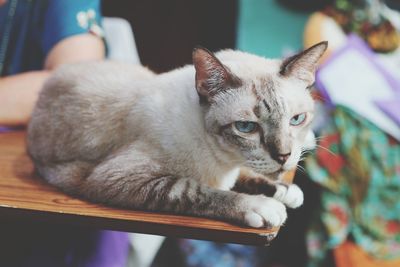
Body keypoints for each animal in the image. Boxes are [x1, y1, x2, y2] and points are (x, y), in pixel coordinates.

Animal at [28, 42, 328, 228]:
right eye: (246, 127)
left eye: (296, 120)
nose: (284, 156)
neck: (224, 161)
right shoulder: (118, 177)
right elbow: (197, 190)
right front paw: (263, 207)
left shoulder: (237, 168)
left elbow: (249, 177)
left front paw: (285, 191)